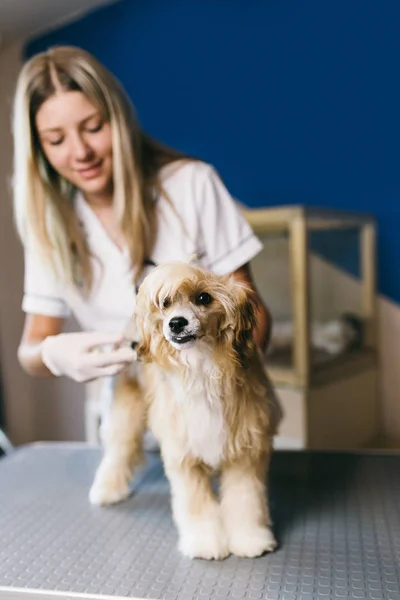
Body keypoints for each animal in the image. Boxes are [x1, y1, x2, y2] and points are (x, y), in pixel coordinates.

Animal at [89, 260, 280, 560]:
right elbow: (196, 503)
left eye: (203, 298)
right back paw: (107, 490)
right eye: (165, 304)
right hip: (127, 408)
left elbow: (245, 500)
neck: (203, 366)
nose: (176, 322)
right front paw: (205, 541)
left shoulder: (245, 452)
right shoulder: (184, 454)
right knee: (119, 450)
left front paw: (249, 538)